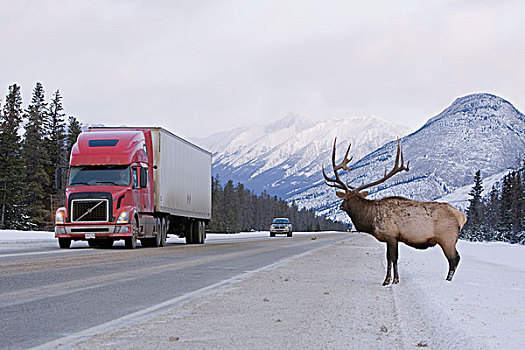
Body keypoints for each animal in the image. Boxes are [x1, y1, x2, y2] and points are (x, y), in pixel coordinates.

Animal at [324, 137, 466, 284]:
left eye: (345, 199)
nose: (340, 206)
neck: (370, 218)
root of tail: (462, 216)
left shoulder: (390, 234)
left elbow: (392, 258)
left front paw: (390, 280)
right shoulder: (393, 238)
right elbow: (392, 258)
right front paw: (392, 279)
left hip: (447, 237)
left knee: (454, 259)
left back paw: (448, 279)